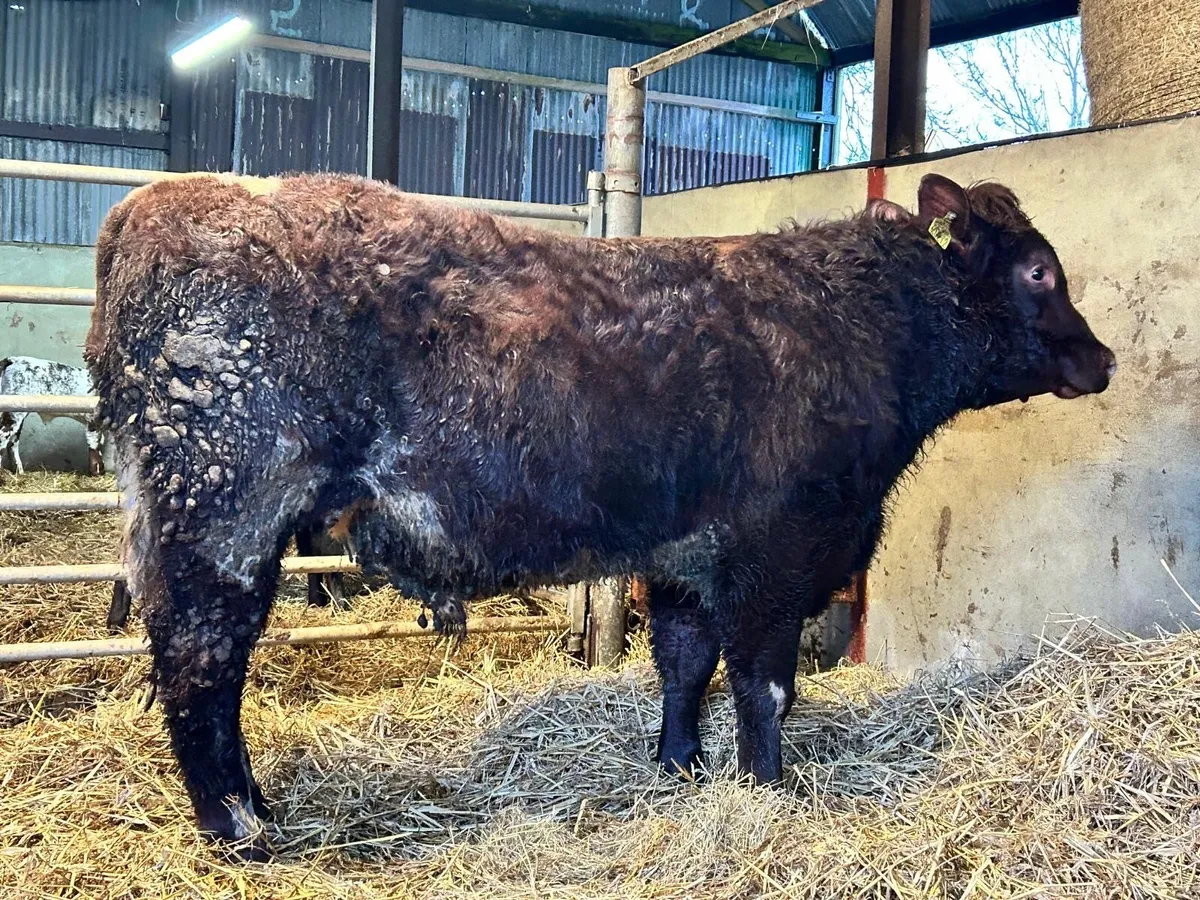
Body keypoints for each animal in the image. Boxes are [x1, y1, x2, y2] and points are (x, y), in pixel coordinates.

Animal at [85, 171, 1115, 860]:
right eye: (1037, 271)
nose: (1103, 359)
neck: (861, 324)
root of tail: (150, 205)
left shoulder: (687, 552)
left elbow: (684, 661)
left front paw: (680, 763)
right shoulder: (777, 553)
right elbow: (765, 684)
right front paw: (768, 786)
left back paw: (258, 806)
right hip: (221, 515)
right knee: (201, 664)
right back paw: (236, 824)